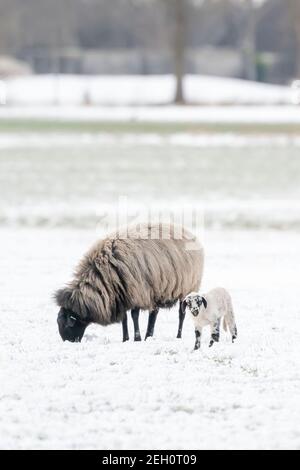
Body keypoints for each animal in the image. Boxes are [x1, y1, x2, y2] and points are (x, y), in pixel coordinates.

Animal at [54, 222, 204, 344]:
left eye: (68, 324)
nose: (68, 342)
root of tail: (188, 232)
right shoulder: (122, 295)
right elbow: (124, 318)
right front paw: (125, 339)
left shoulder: (136, 292)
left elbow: (134, 316)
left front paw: (136, 338)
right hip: (157, 288)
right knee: (154, 313)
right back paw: (148, 336)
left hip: (187, 288)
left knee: (181, 314)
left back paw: (178, 336)